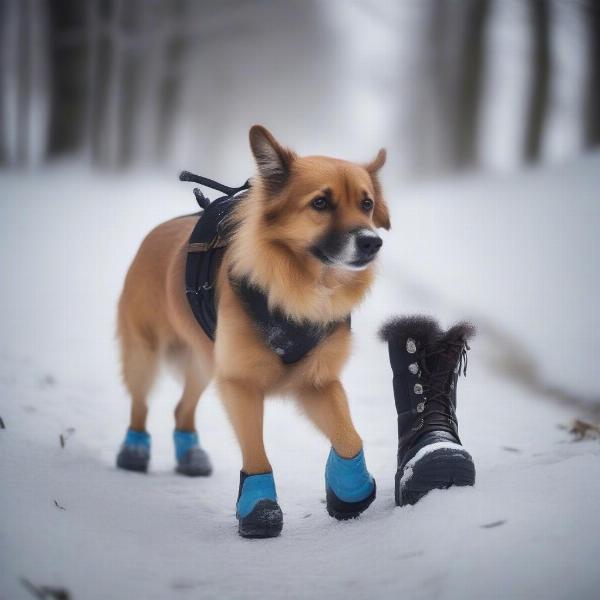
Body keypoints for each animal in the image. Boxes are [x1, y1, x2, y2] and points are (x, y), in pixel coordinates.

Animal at [115, 126, 392, 540]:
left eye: (367, 204)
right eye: (321, 203)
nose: (372, 241)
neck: (300, 289)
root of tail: (156, 232)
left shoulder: (317, 381)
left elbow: (349, 437)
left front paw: (348, 489)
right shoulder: (240, 382)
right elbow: (256, 453)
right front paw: (259, 509)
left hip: (204, 363)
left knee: (182, 408)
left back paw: (190, 454)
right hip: (146, 352)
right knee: (140, 403)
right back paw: (133, 450)